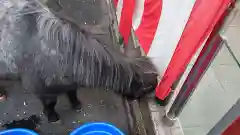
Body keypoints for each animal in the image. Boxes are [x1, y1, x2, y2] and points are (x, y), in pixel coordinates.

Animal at [0, 0, 158, 122]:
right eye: (147, 88)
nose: (153, 97)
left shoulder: (69, 84)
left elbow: (72, 93)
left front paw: (76, 104)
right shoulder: (40, 88)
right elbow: (50, 103)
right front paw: (52, 117)